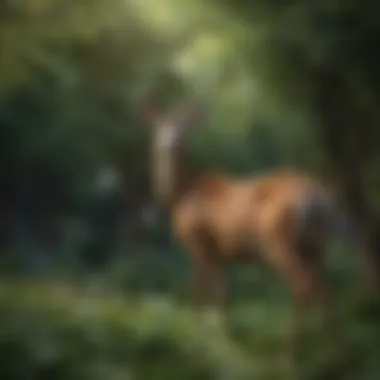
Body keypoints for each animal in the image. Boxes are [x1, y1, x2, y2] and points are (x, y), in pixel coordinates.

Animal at [138, 93, 348, 360]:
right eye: (159, 126)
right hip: (317, 244)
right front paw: (226, 340)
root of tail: (317, 195)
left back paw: (288, 356)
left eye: (183, 127)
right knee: (326, 288)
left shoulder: (199, 242)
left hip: (278, 238)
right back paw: (336, 356)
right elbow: (222, 295)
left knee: (303, 286)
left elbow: (199, 291)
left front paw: (195, 334)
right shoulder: (220, 252)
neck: (183, 193)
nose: (170, 142)